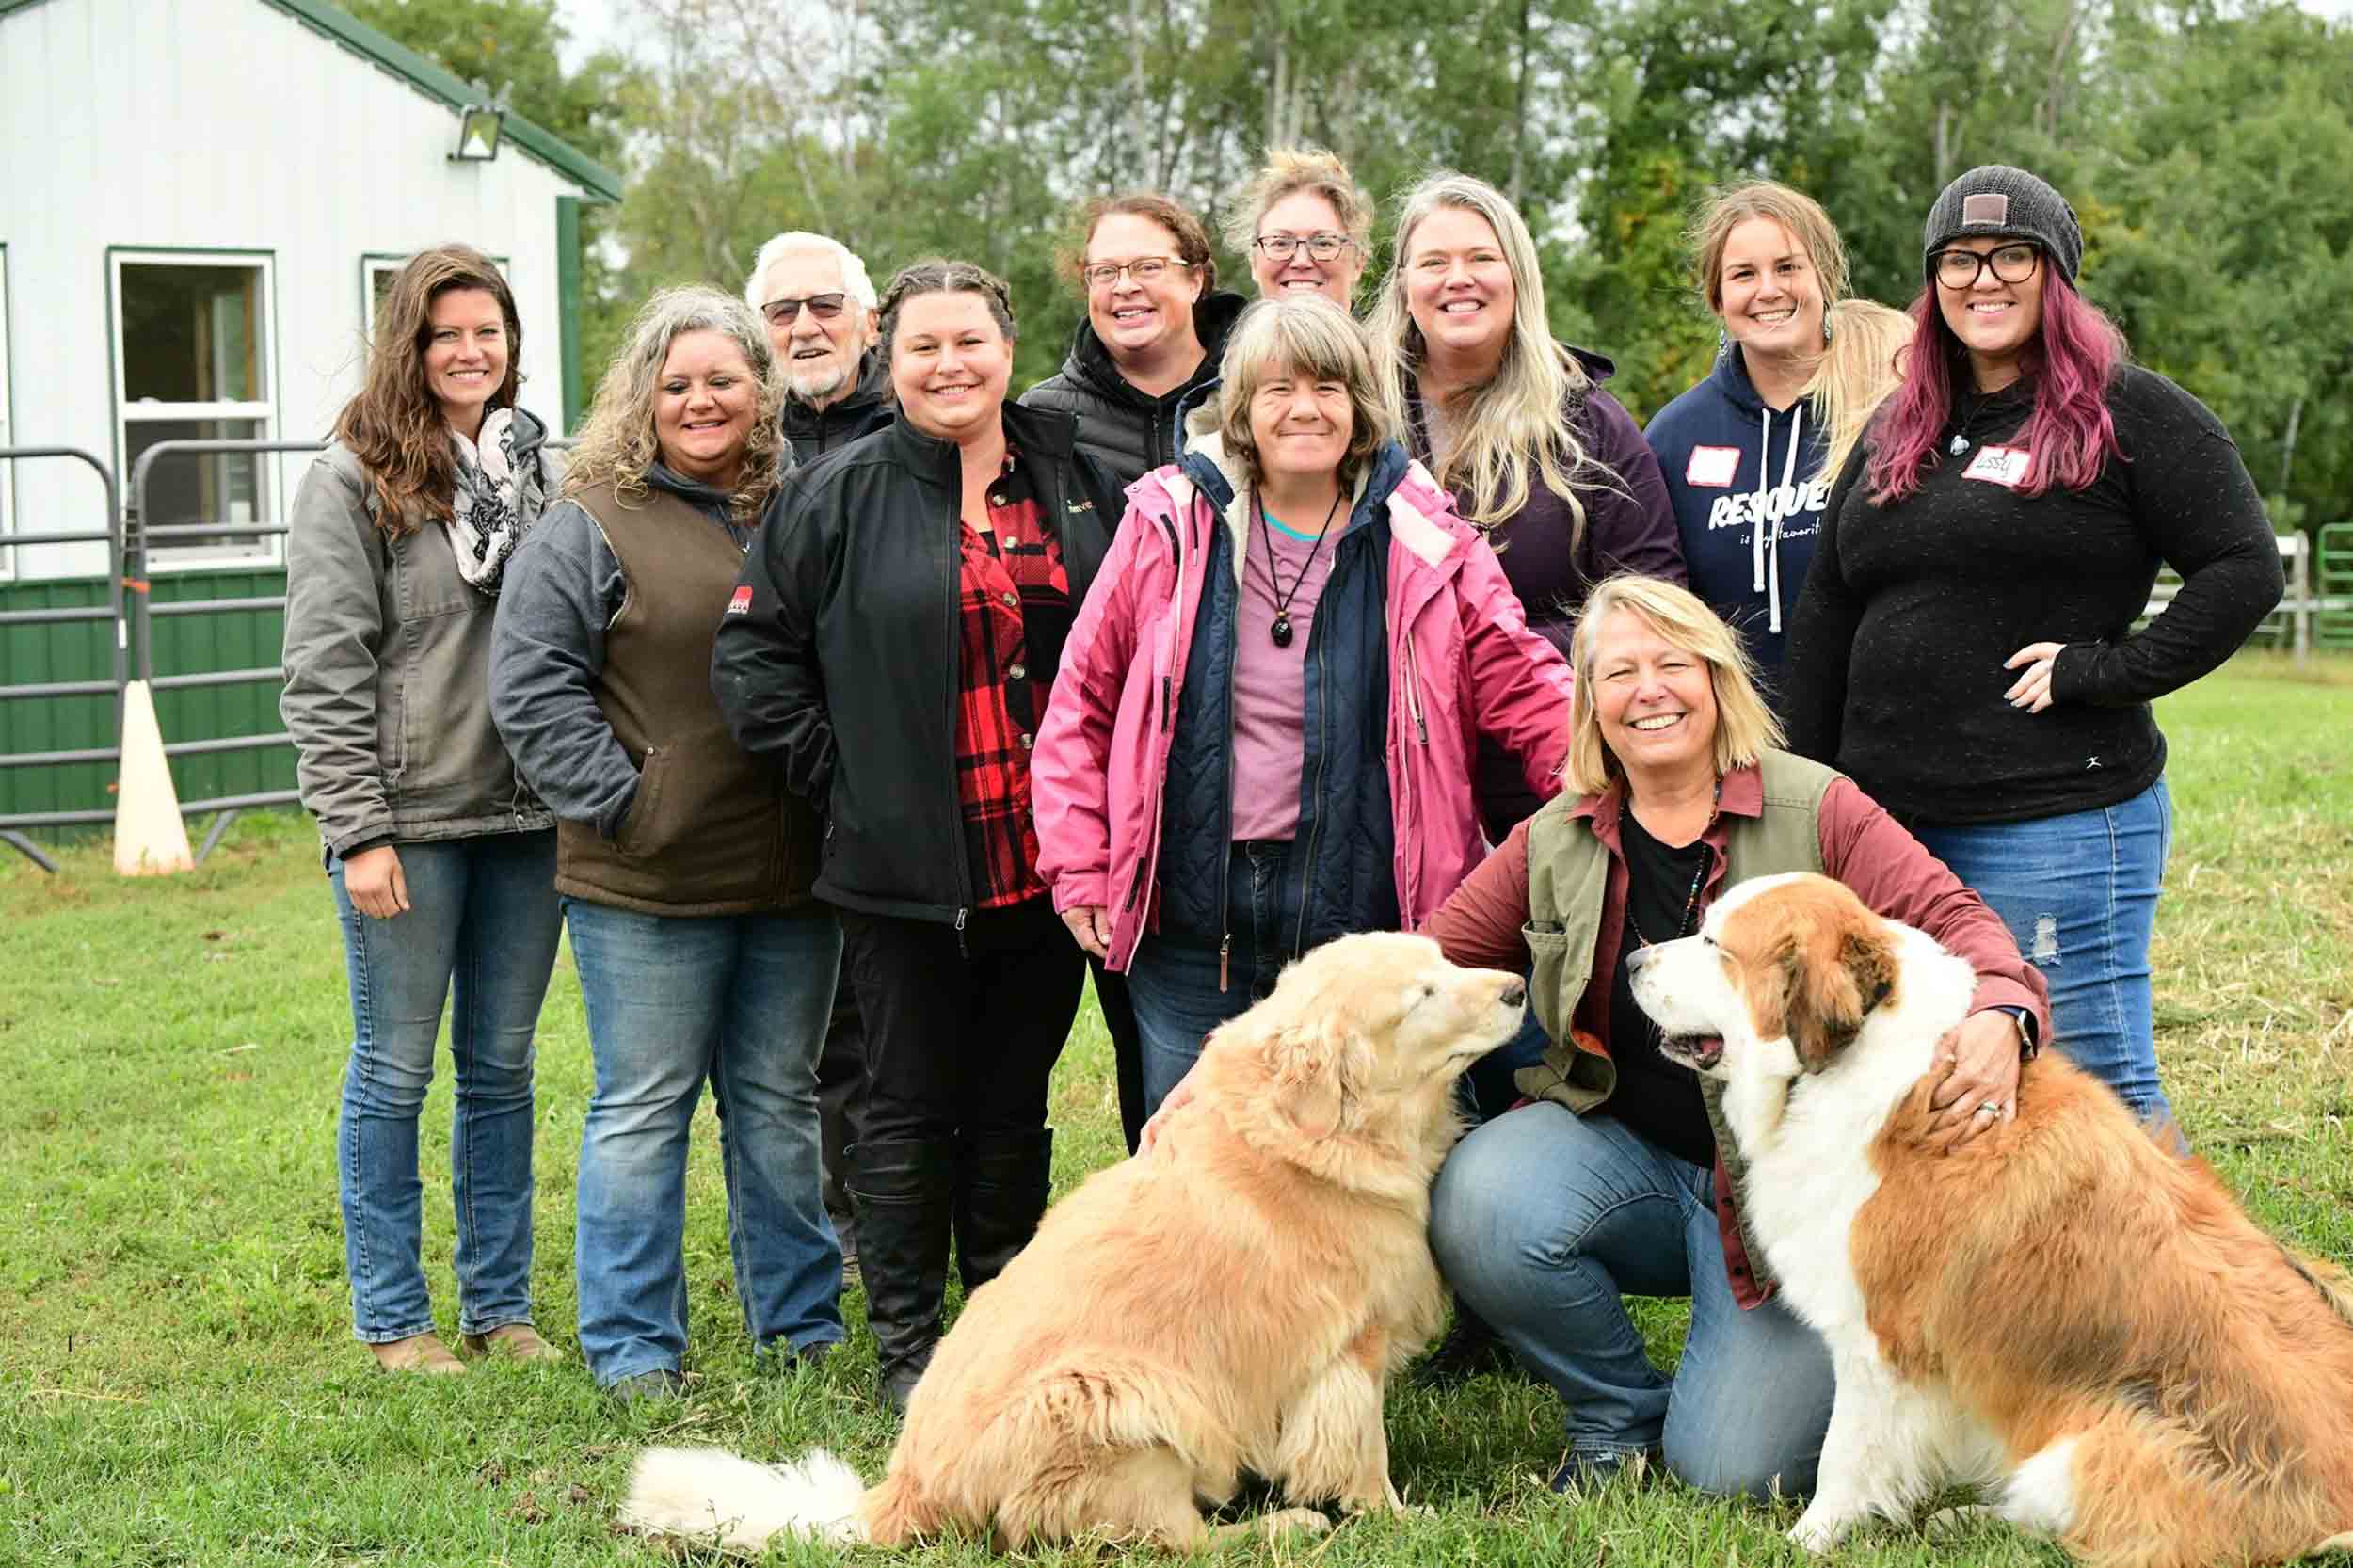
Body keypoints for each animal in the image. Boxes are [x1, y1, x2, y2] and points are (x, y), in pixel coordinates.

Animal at [616, 927, 1525, 1553]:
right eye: (1421, 995)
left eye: (1445, 958)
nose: (1517, 987)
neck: (1322, 1129)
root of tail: (903, 1490)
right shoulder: (1347, 1356)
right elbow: (1364, 1455)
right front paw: (1403, 1517)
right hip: (1119, 1397)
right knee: (1178, 1542)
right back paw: (1283, 1528)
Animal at [1628, 871, 2353, 1553]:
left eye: (1715, 944)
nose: (1633, 961)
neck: (1851, 1062)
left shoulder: (1876, 1346)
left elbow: (1845, 1456)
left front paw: (1810, 1539)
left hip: (2081, 1451)